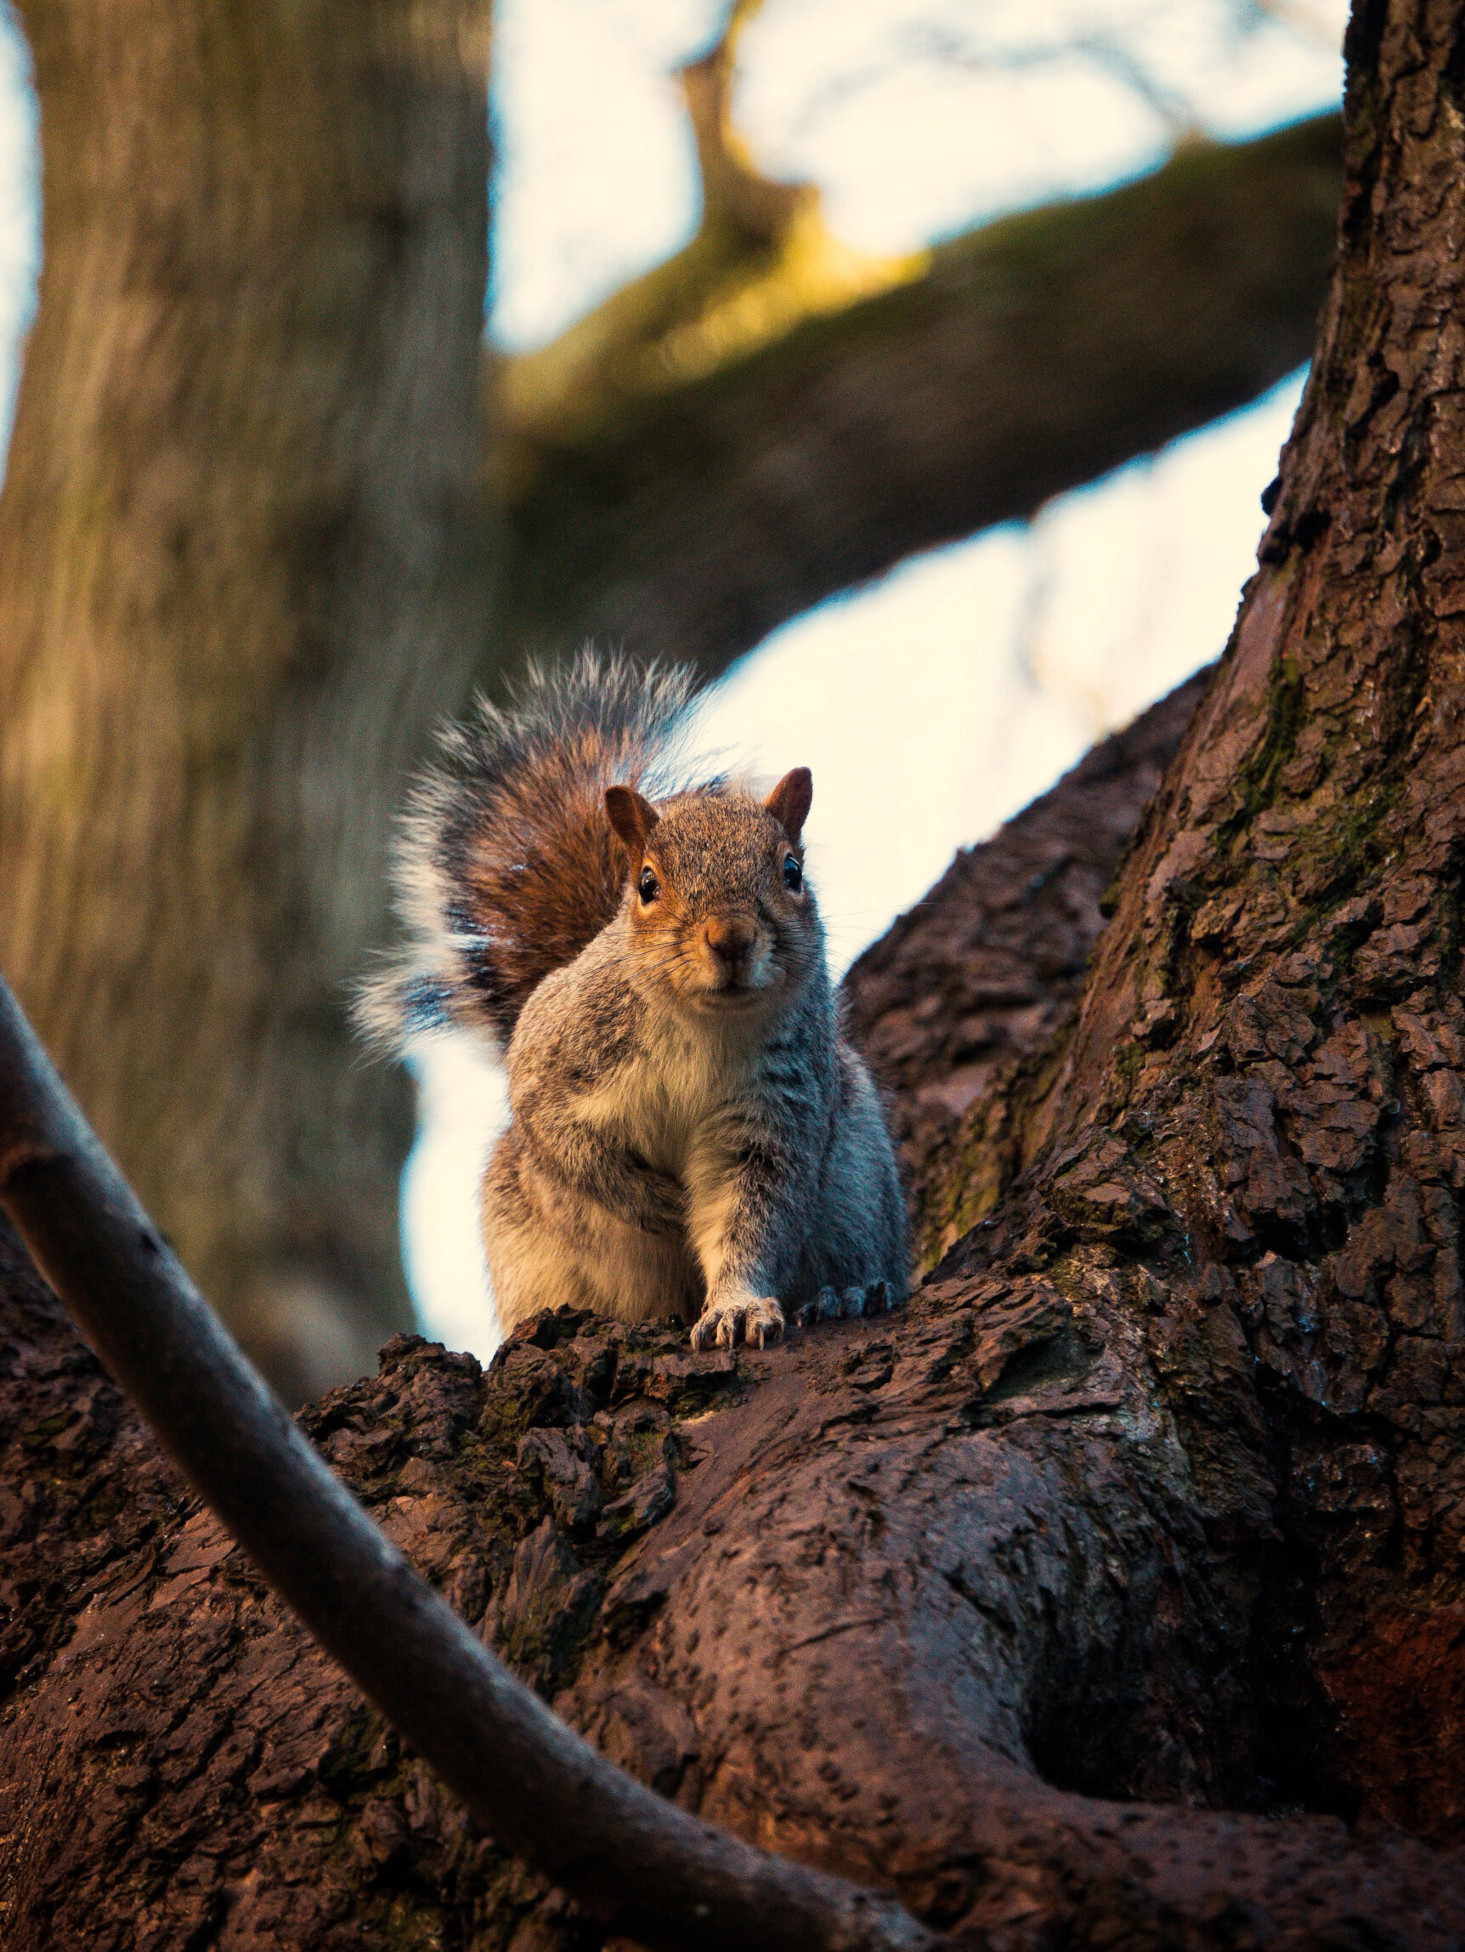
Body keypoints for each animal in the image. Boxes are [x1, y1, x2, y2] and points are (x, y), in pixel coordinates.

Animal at [358, 648, 905, 1350]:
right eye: (647, 883)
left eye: (792, 872)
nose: (731, 939)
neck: (703, 1026)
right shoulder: (556, 1058)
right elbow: (568, 1142)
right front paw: (658, 1203)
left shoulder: (774, 1111)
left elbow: (752, 1218)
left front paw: (736, 1307)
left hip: (862, 1178)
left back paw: (850, 1294)